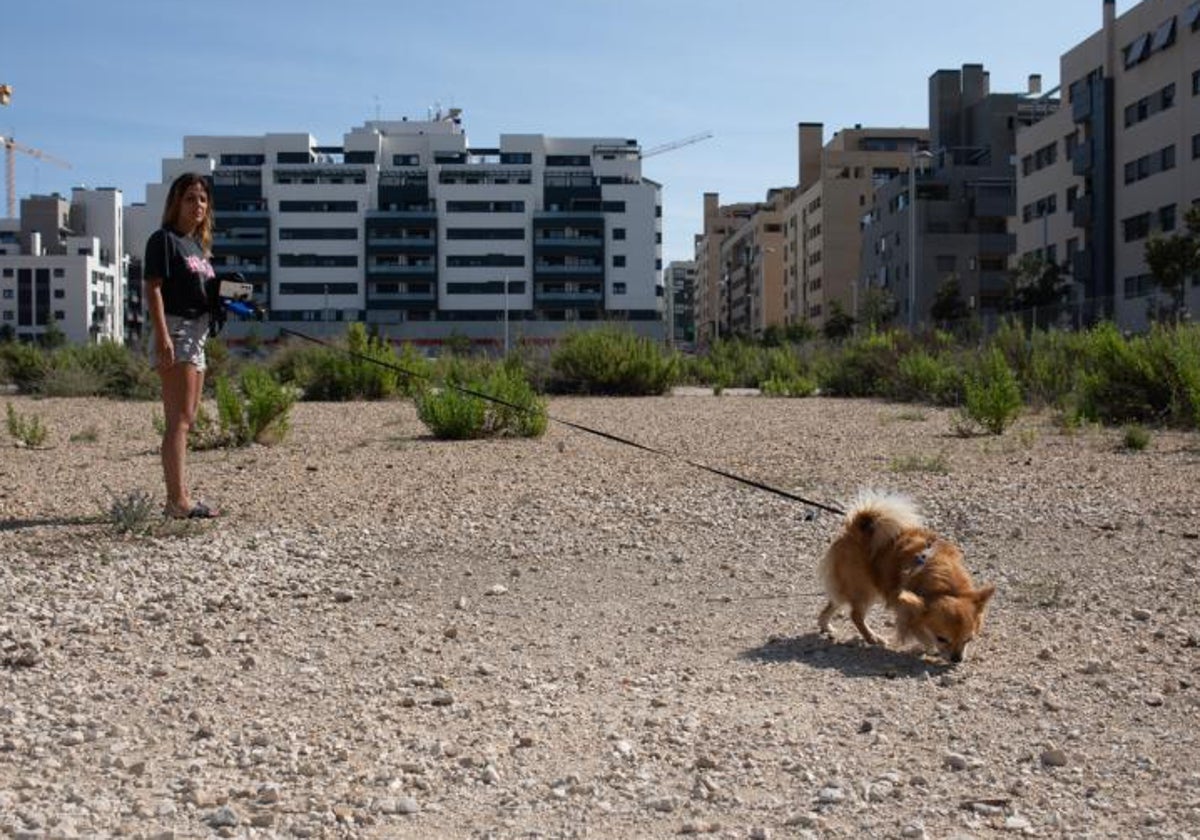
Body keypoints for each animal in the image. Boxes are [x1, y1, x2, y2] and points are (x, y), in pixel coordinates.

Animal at [816, 492, 993, 662]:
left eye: (968, 639)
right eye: (941, 639)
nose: (956, 659)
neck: (946, 589)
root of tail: (856, 526)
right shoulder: (907, 611)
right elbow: (920, 633)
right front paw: (929, 648)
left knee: (834, 602)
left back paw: (825, 625)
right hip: (865, 589)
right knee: (856, 615)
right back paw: (872, 637)